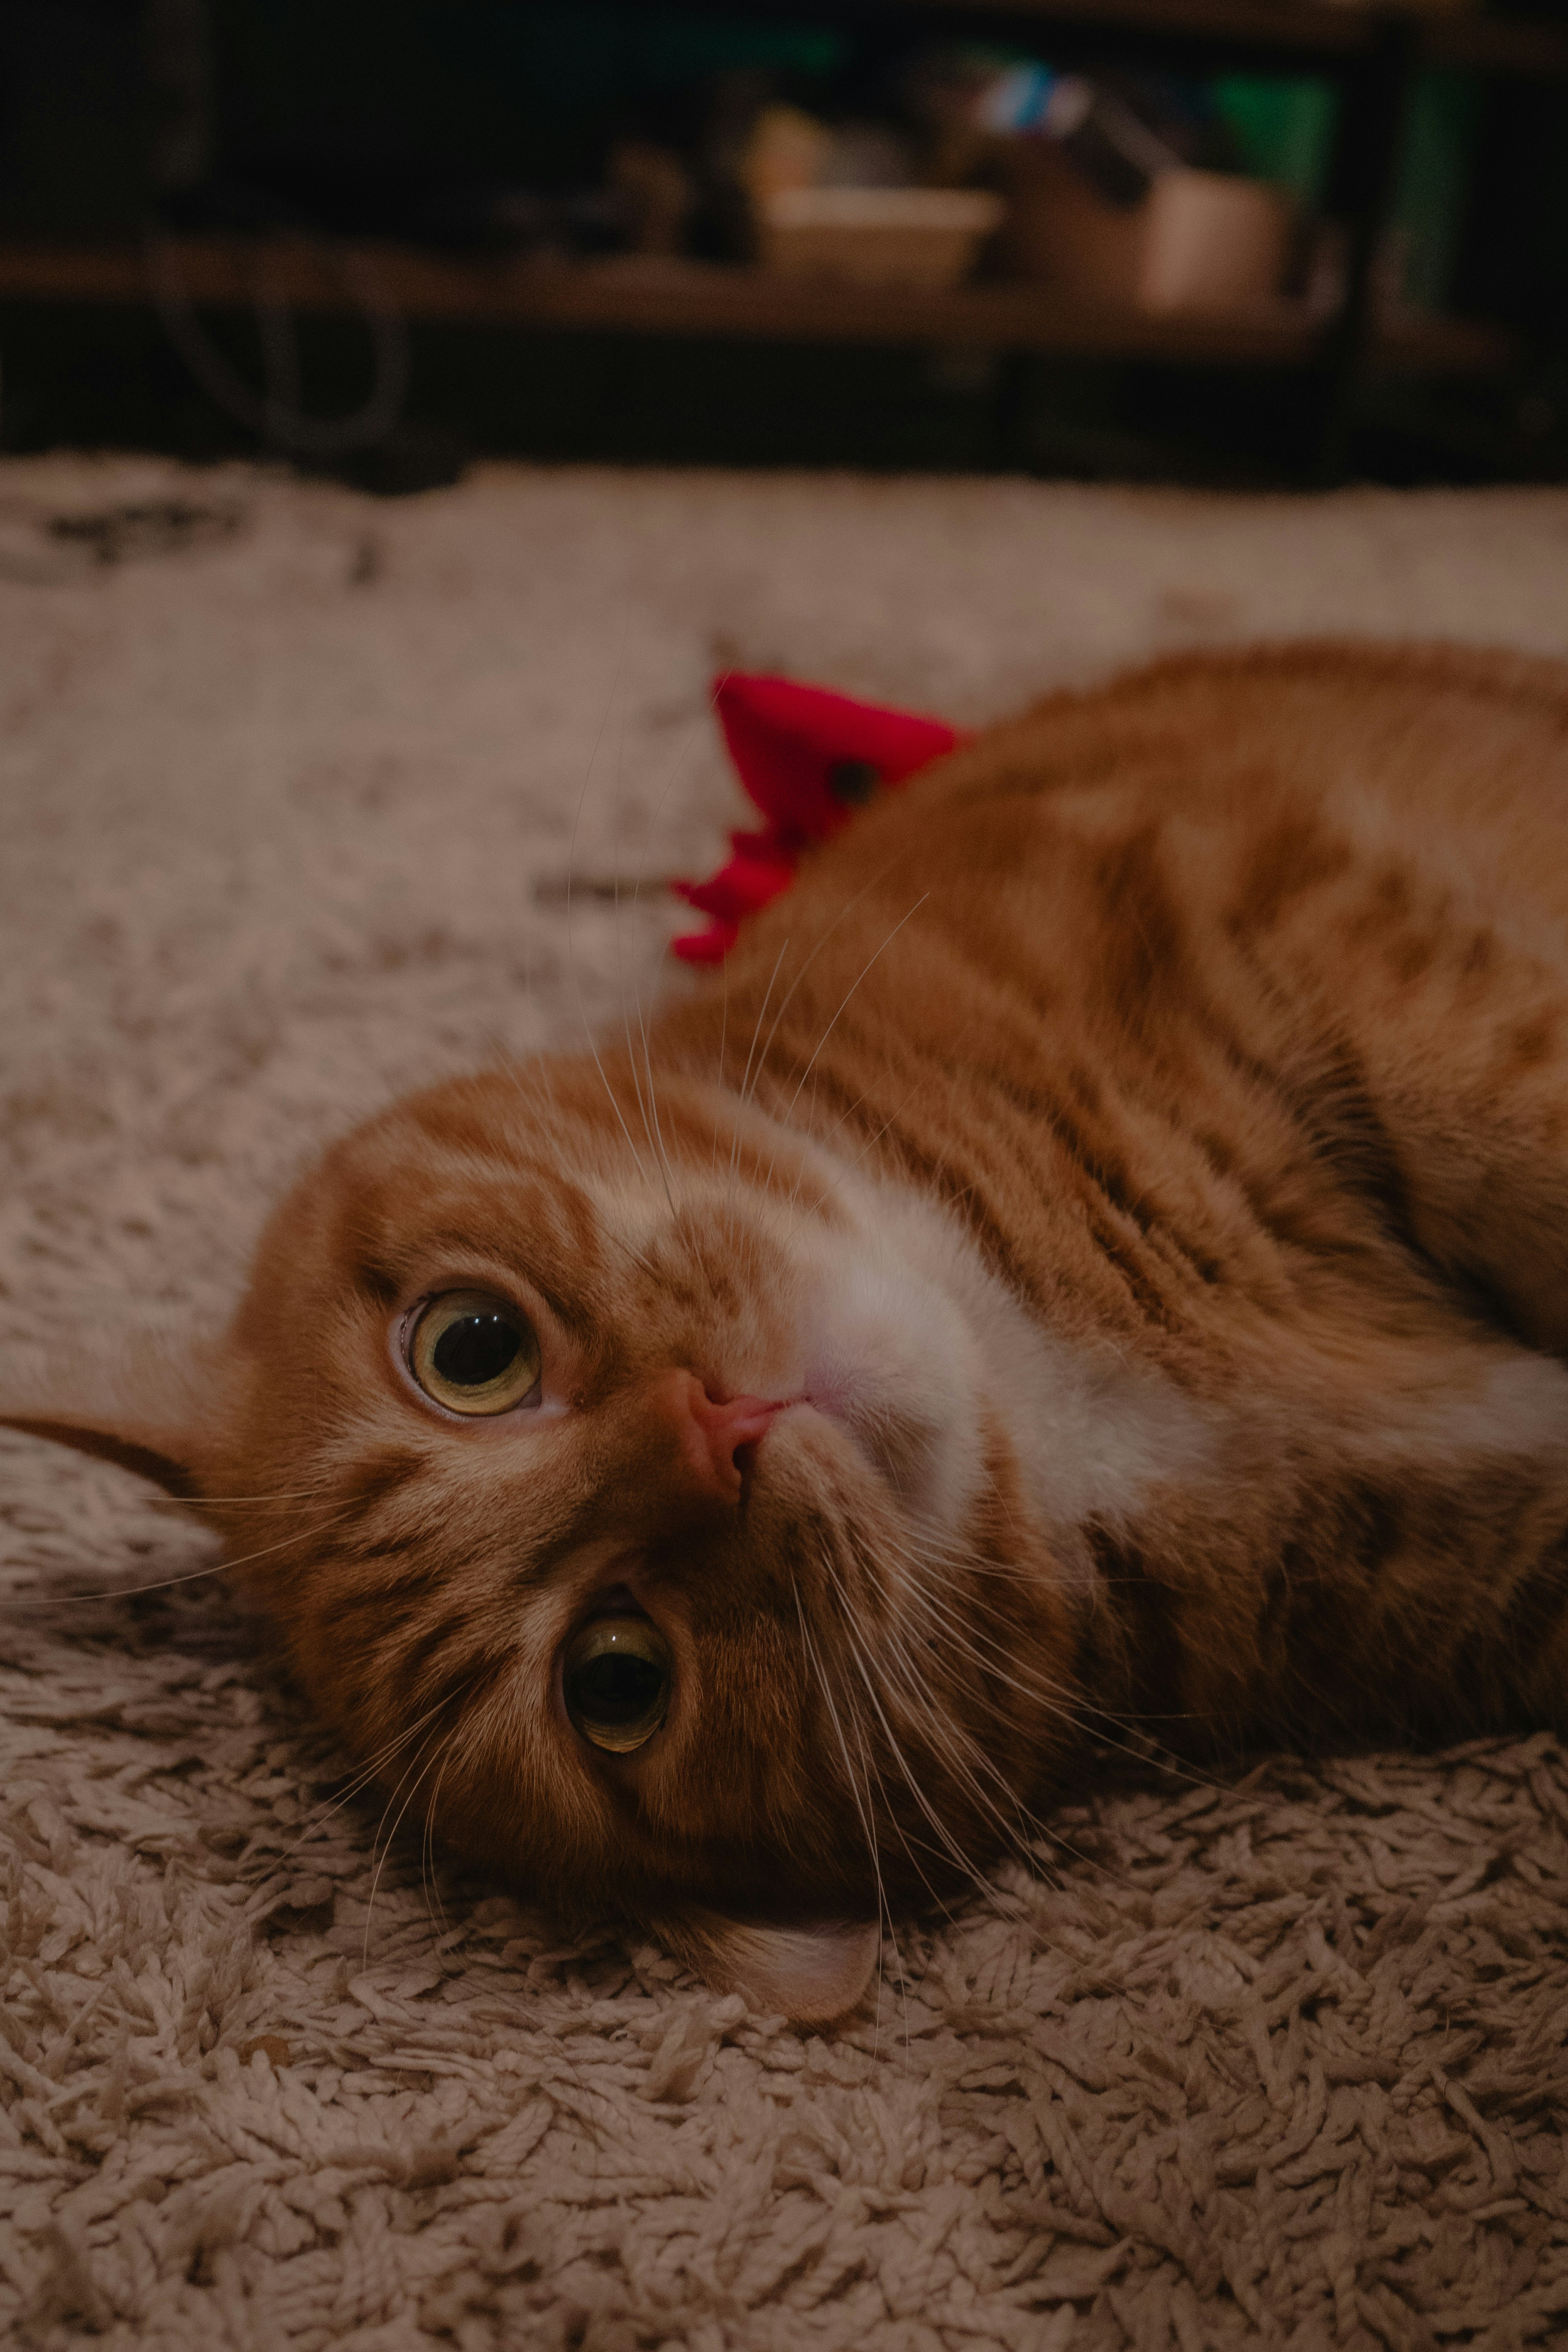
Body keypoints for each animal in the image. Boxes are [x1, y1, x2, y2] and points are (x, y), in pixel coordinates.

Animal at [9, 644, 1568, 2022]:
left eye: (468, 1350)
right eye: (617, 1681)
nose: (717, 1432)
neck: (1078, 1376)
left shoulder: (1257, 903)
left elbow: (1504, 1126)